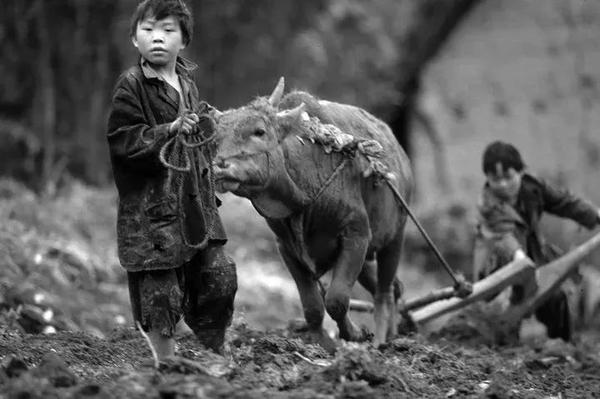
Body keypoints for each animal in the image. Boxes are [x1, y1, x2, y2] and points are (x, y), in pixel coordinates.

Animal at [213, 77, 414, 346]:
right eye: (216, 138)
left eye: (259, 131)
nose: (220, 166)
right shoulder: (287, 248)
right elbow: (313, 307)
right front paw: (322, 343)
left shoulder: (357, 234)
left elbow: (336, 300)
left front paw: (356, 333)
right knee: (395, 287)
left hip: (394, 239)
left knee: (385, 291)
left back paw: (382, 340)